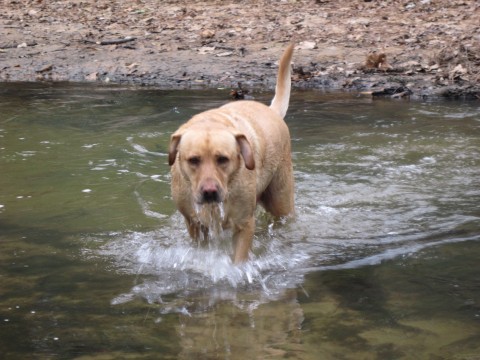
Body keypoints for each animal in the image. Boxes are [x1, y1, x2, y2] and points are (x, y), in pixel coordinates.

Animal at [169, 45, 296, 264]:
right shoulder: (194, 224)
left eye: (223, 159)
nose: (209, 191)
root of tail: (272, 110)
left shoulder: (244, 224)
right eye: (193, 160)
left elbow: (239, 260)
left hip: (282, 200)